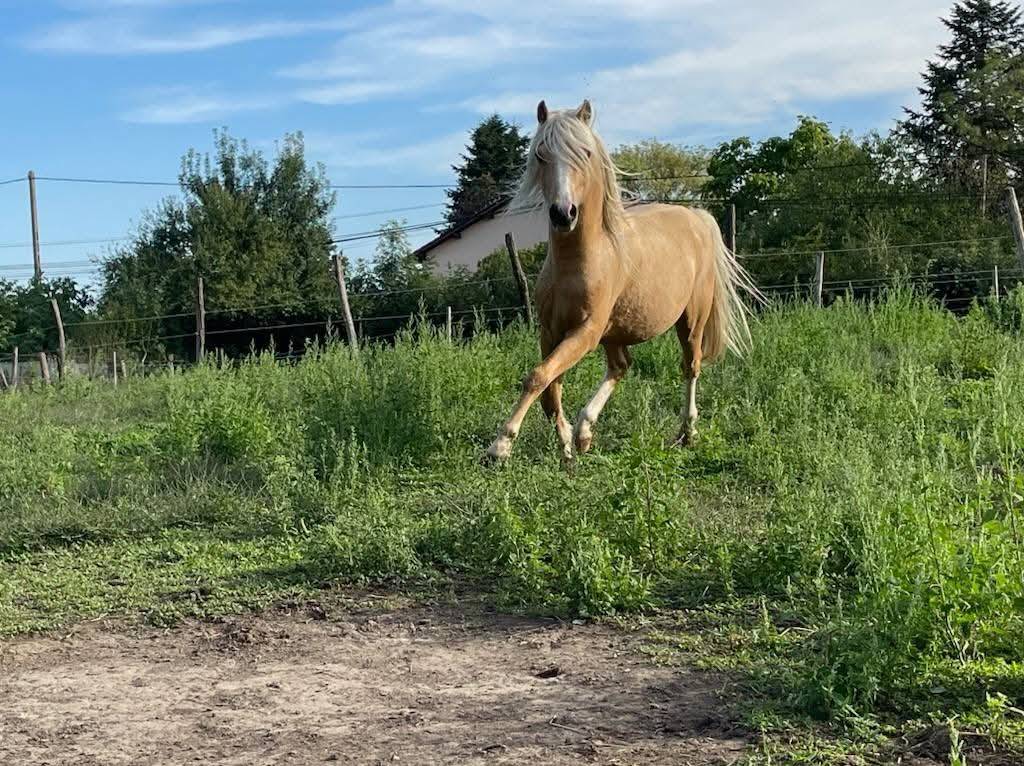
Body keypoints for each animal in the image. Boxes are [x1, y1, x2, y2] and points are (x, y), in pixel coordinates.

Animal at [486, 99, 762, 463]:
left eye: (585, 152)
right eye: (541, 154)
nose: (563, 213)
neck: (577, 262)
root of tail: (696, 216)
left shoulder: (585, 331)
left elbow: (538, 376)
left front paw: (500, 446)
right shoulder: (550, 331)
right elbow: (549, 387)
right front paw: (566, 447)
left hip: (691, 320)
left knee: (690, 366)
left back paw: (686, 434)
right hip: (615, 330)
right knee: (621, 366)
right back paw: (584, 432)